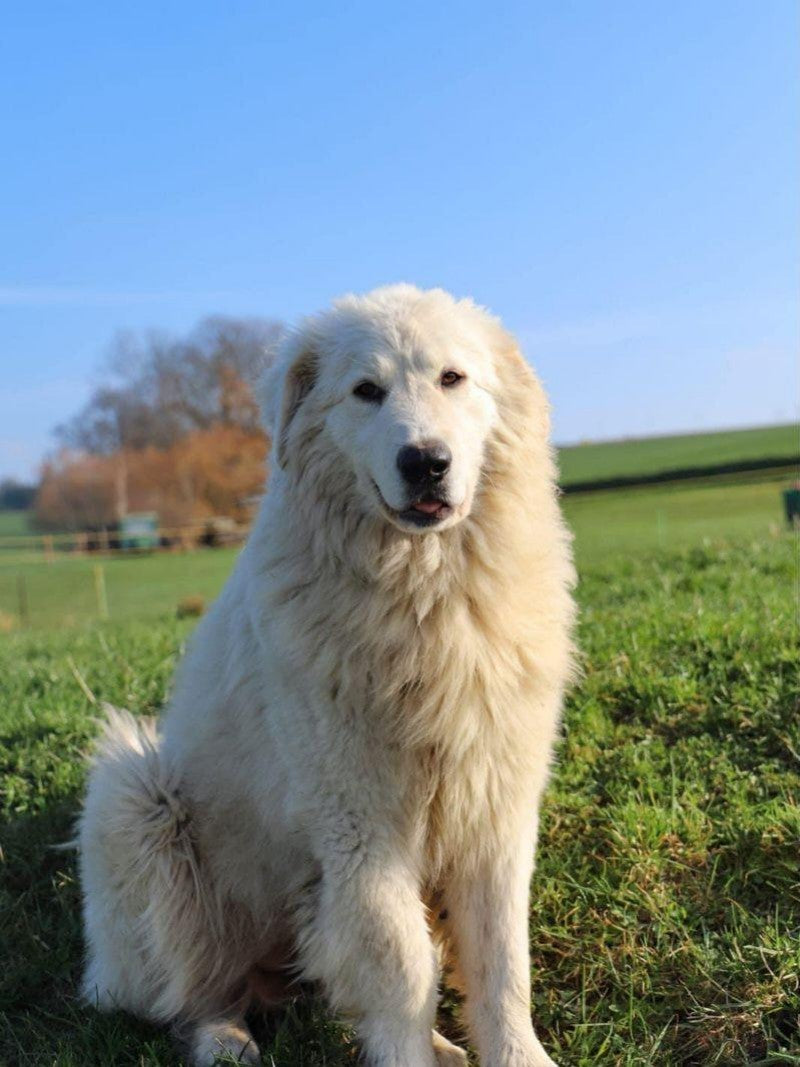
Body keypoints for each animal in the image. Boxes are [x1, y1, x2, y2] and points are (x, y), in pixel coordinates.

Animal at [80, 285, 576, 1067]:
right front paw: (409, 1058)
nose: (425, 461)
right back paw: (224, 1038)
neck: (424, 595)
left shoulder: (496, 807)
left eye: (452, 378)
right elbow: (402, 965)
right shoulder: (359, 825)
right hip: (141, 798)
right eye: (366, 391)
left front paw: (513, 1054)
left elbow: (501, 961)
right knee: (196, 990)